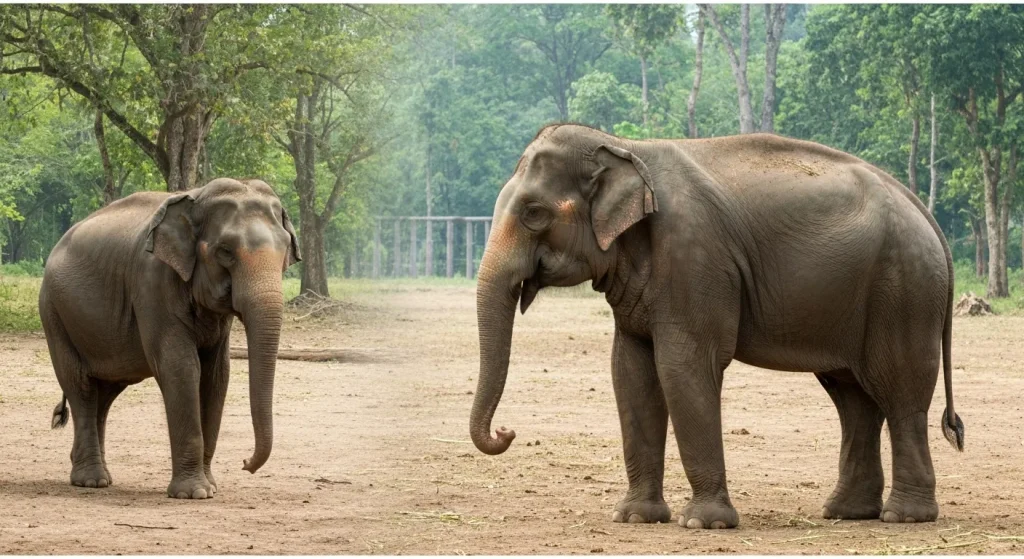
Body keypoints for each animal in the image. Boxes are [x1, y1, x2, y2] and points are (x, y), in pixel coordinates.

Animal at [39, 178, 300, 499]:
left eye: (285, 248)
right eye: (226, 250)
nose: (245, 463)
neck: (196, 199)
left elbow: (216, 375)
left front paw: (210, 487)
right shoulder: (152, 283)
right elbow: (181, 367)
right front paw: (194, 494)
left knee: (105, 393)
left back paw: (98, 475)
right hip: (54, 313)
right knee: (81, 387)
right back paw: (91, 481)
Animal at [470, 124, 964, 529]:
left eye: (534, 213)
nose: (506, 432)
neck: (626, 147)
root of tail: (924, 212)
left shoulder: (694, 259)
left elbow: (683, 367)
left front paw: (703, 523)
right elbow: (629, 372)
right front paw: (634, 518)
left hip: (905, 290)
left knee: (899, 392)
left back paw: (905, 516)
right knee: (853, 396)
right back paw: (846, 512)